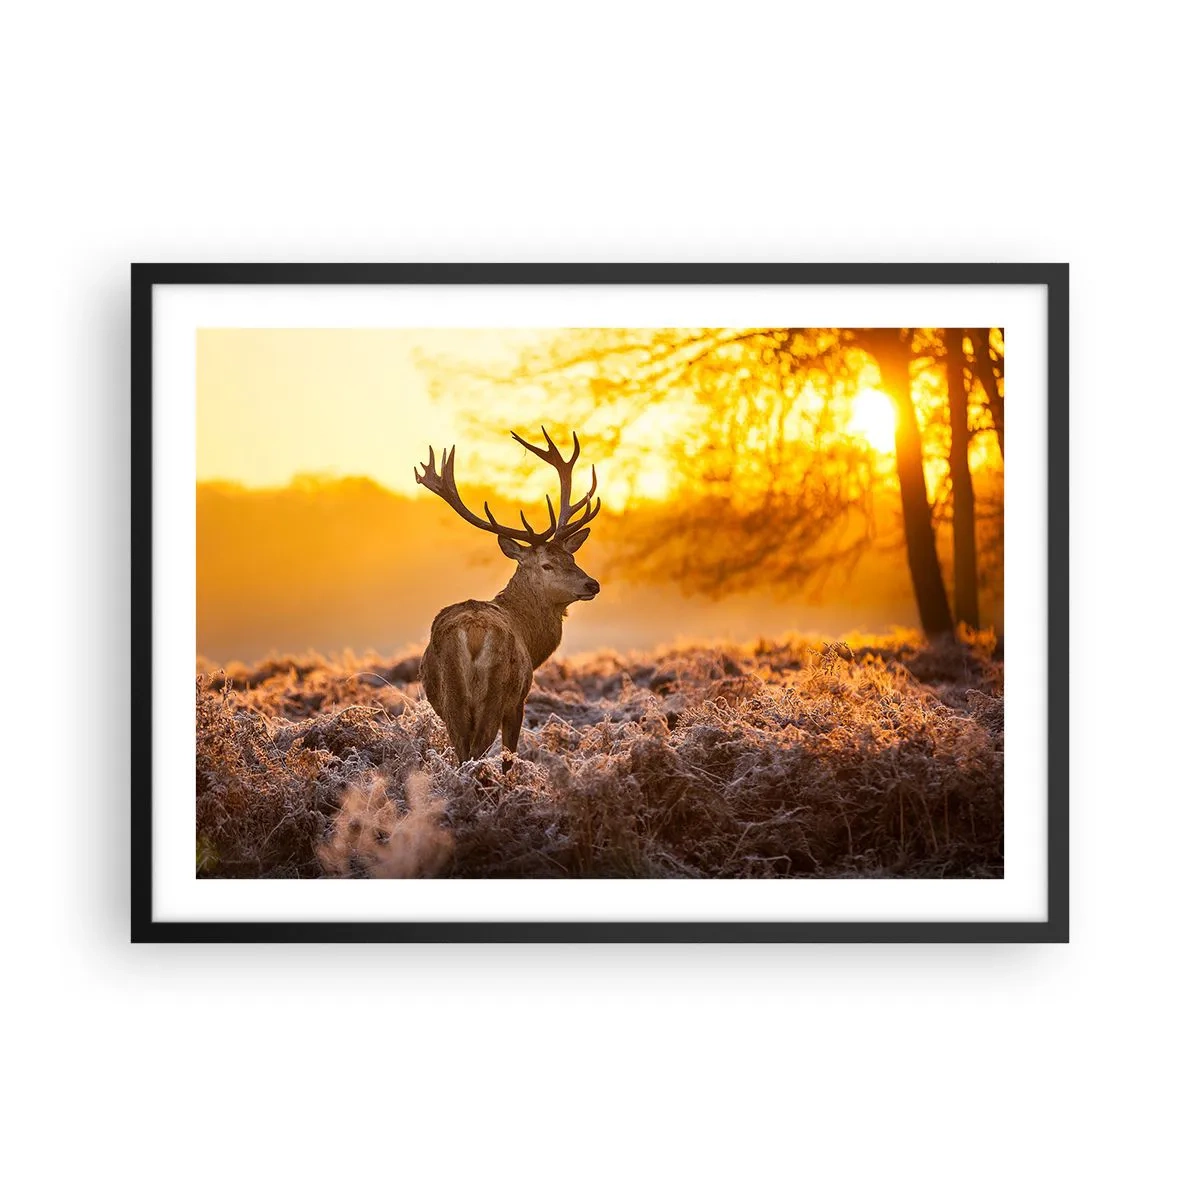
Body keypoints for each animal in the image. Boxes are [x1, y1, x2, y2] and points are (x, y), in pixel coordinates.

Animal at [414, 428, 602, 766]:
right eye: (547, 564)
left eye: (572, 557)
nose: (592, 584)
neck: (531, 638)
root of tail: (473, 633)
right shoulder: (519, 701)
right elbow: (509, 754)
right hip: (497, 693)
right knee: (477, 751)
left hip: (451, 700)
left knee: (462, 753)